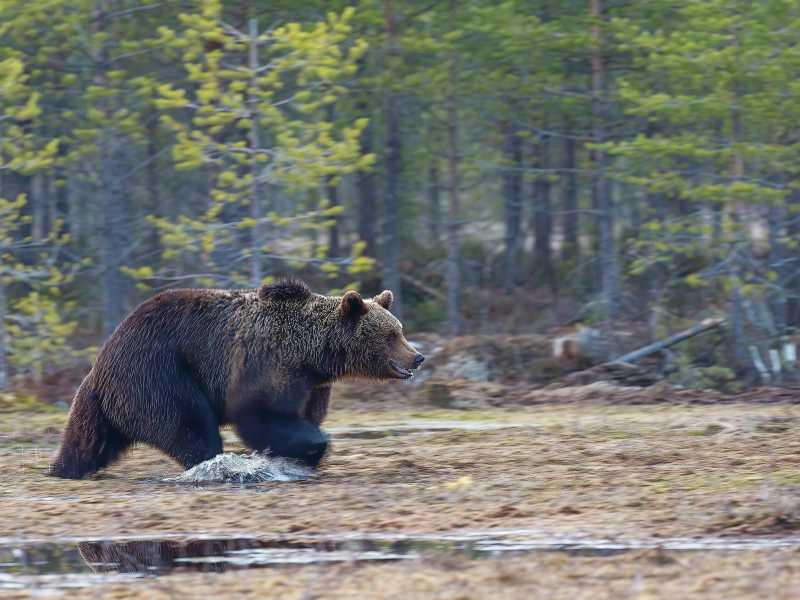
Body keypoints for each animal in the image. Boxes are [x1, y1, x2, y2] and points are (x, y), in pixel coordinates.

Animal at [48, 279, 424, 479]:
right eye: (392, 335)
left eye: (400, 330)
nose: (417, 357)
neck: (315, 355)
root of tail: (101, 361)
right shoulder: (268, 362)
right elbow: (260, 414)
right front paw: (308, 446)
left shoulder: (312, 384)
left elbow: (304, 414)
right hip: (159, 373)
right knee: (189, 424)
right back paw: (213, 463)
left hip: (110, 401)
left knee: (88, 440)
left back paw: (63, 468)